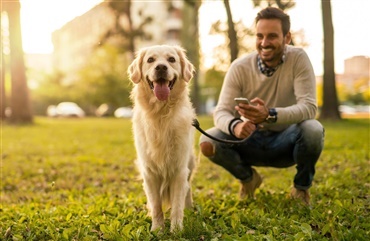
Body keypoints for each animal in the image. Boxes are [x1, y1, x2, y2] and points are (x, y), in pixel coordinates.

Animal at [128, 44, 197, 232]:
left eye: (171, 59)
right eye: (150, 60)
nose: (160, 67)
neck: (160, 114)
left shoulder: (179, 170)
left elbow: (177, 205)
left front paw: (176, 230)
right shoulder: (149, 172)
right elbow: (156, 205)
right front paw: (157, 229)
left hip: (190, 163)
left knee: (188, 189)